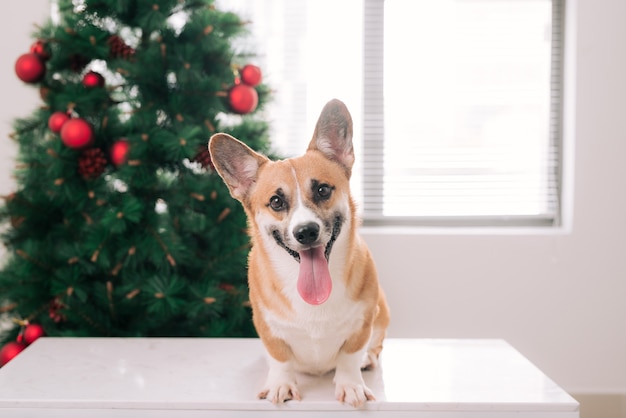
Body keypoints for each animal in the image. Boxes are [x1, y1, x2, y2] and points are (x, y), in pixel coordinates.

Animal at [207, 99, 388, 406]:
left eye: (323, 190)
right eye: (276, 202)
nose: (306, 232)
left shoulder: (363, 321)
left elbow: (350, 357)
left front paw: (351, 385)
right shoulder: (266, 325)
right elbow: (280, 358)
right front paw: (281, 384)